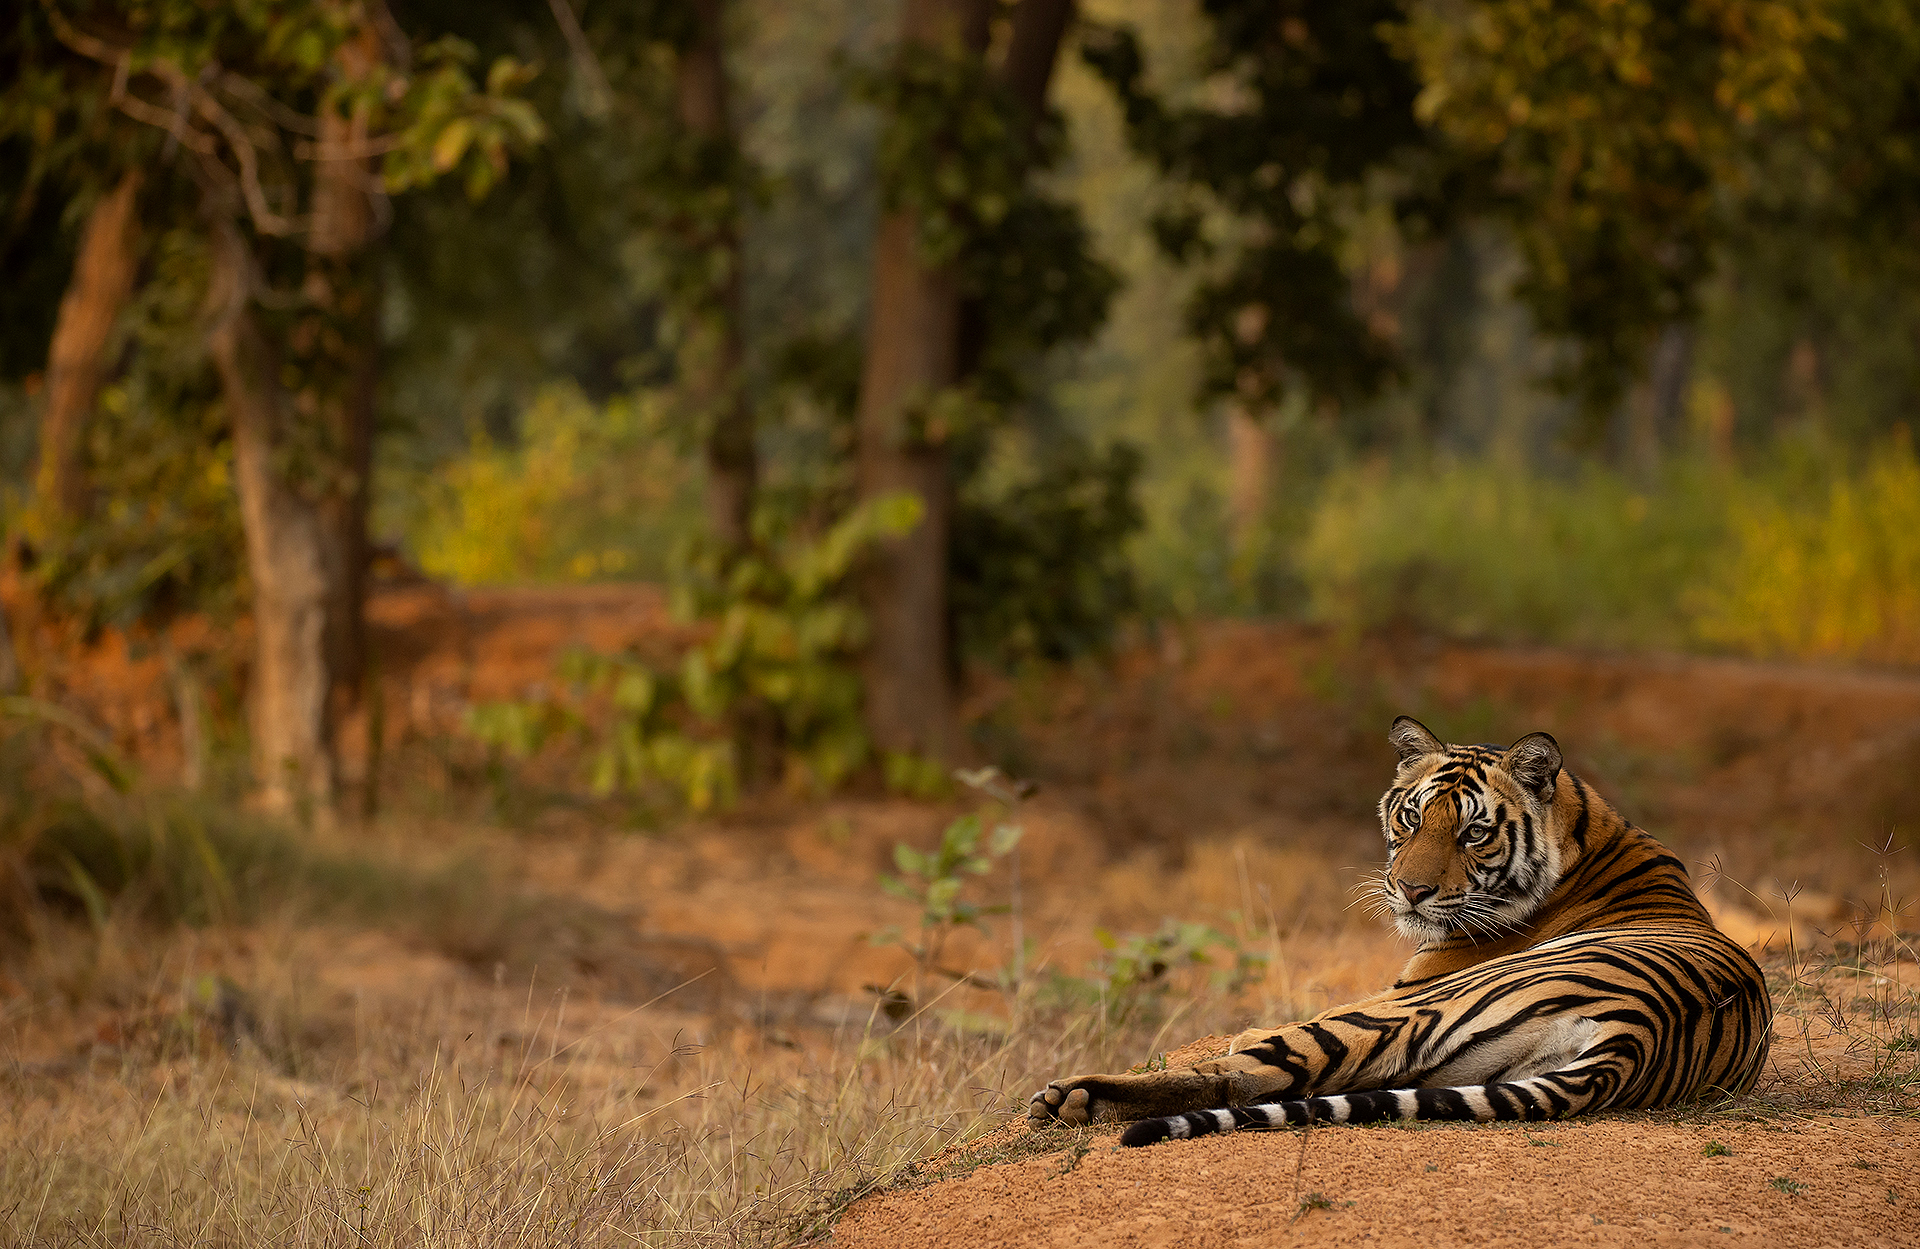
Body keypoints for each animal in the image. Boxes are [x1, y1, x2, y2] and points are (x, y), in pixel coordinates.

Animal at [1028, 715, 1772, 1147]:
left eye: (1473, 831)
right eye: (1412, 817)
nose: (1411, 890)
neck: (1588, 834)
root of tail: (1636, 1033)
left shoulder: (1404, 987)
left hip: (1410, 1012)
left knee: (1257, 1070)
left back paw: (1073, 1097)